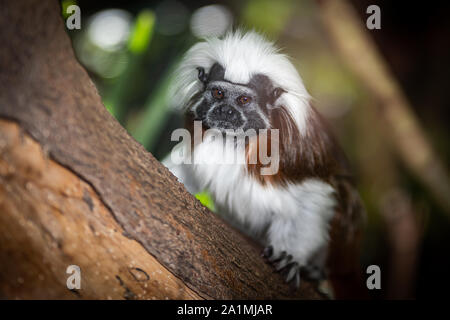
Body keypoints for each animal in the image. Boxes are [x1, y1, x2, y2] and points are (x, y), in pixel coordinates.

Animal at [165, 30, 366, 292]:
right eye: (218, 93)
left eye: (243, 100)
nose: (225, 111)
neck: (234, 140)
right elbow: (184, 167)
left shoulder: (294, 159)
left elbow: (314, 198)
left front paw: (291, 258)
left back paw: (317, 271)